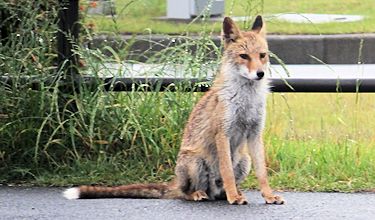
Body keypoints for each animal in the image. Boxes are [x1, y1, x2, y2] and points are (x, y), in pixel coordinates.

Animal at [64, 15, 284, 206]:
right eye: (244, 56)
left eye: (262, 56)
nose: (260, 74)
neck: (246, 100)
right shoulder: (223, 133)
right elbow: (228, 173)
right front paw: (234, 197)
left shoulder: (255, 133)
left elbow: (262, 174)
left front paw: (268, 196)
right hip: (195, 162)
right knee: (187, 193)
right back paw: (202, 194)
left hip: (244, 160)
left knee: (218, 189)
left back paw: (230, 194)